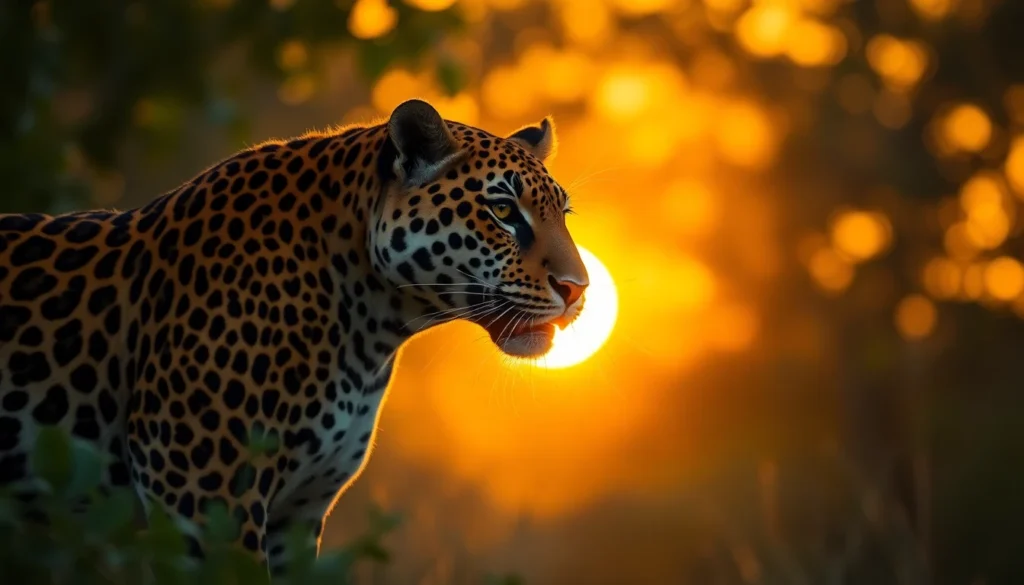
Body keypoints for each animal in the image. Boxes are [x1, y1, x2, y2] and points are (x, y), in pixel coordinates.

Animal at [0, 99, 589, 575]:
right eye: (502, 210)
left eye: (563, 213)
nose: (578, 289)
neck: (370, 329)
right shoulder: (205, 500)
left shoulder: (297, 514)